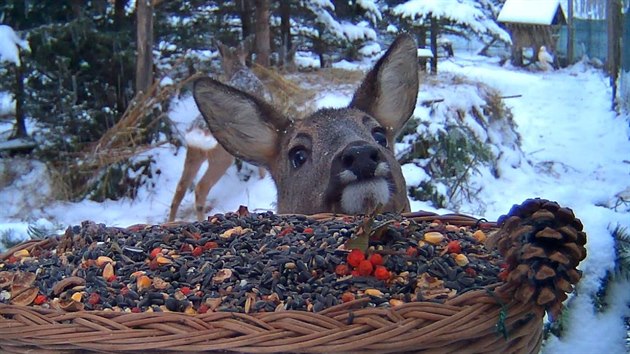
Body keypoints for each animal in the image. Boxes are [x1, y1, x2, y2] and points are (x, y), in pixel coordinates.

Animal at [169, 38, 268, 221]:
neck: (240, 70)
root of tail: (198, 132)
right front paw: (262, 179)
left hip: (193, 154)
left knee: (180, 189)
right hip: (221, 157)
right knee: (201, 188)